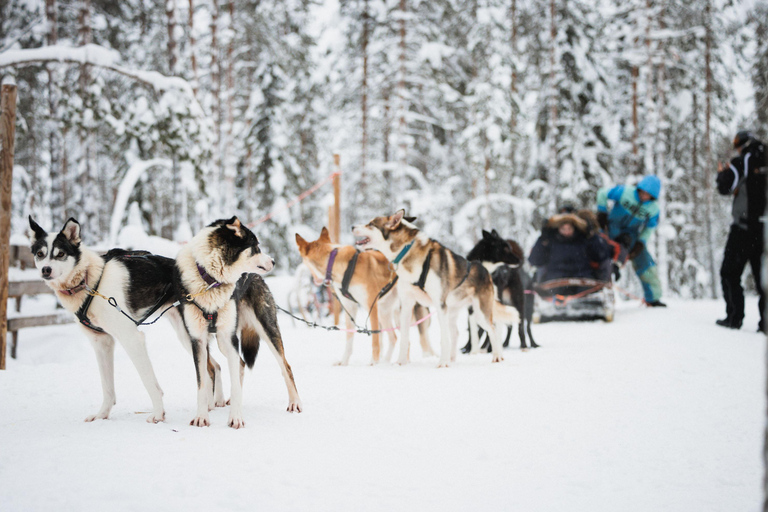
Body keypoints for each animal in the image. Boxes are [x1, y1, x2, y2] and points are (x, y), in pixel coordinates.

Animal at [27, 216, 181, 424]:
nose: (46, 270)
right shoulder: (102, 342)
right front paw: (102, 415)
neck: (89, 281)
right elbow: (107, 387)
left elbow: (149, 381)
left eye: (60, 254)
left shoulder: (132, 339)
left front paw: (158, 414)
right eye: (40, 254)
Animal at [174, 218, 304, 430]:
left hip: (264, 329)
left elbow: (234, 383)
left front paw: (235, 418)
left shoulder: (229, 338)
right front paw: (201, 417)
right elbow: (202, 384)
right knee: (242, 364)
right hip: (222, 341)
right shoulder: (198, 341)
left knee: (286, 366)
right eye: (256, 246)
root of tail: (255, 276)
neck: (210, 280)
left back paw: (295, 403)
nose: (273, 261)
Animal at [296, 227, 436, 364]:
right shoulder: (350, 308)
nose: (314, 280)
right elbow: (349, 340)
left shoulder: (371, 306)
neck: (336, 262)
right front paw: (344, 362)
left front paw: (373, 363)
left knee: (405, 339)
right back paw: (388, 361)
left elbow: (375, 339)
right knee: (396, 338)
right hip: (384, 311)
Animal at [352, 210, 520, 366]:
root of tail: (484, 269)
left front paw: (442, 363)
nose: (352, 226)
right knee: (456, 333)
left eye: (371, 224)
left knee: (492, 329)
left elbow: (443, 338)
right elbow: (405, 336)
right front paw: (401, 362)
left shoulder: (439, 305)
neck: (406, 252)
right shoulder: (407, 304)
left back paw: (497, 356)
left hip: (479, 313)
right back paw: (452, 359)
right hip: (453, 311)